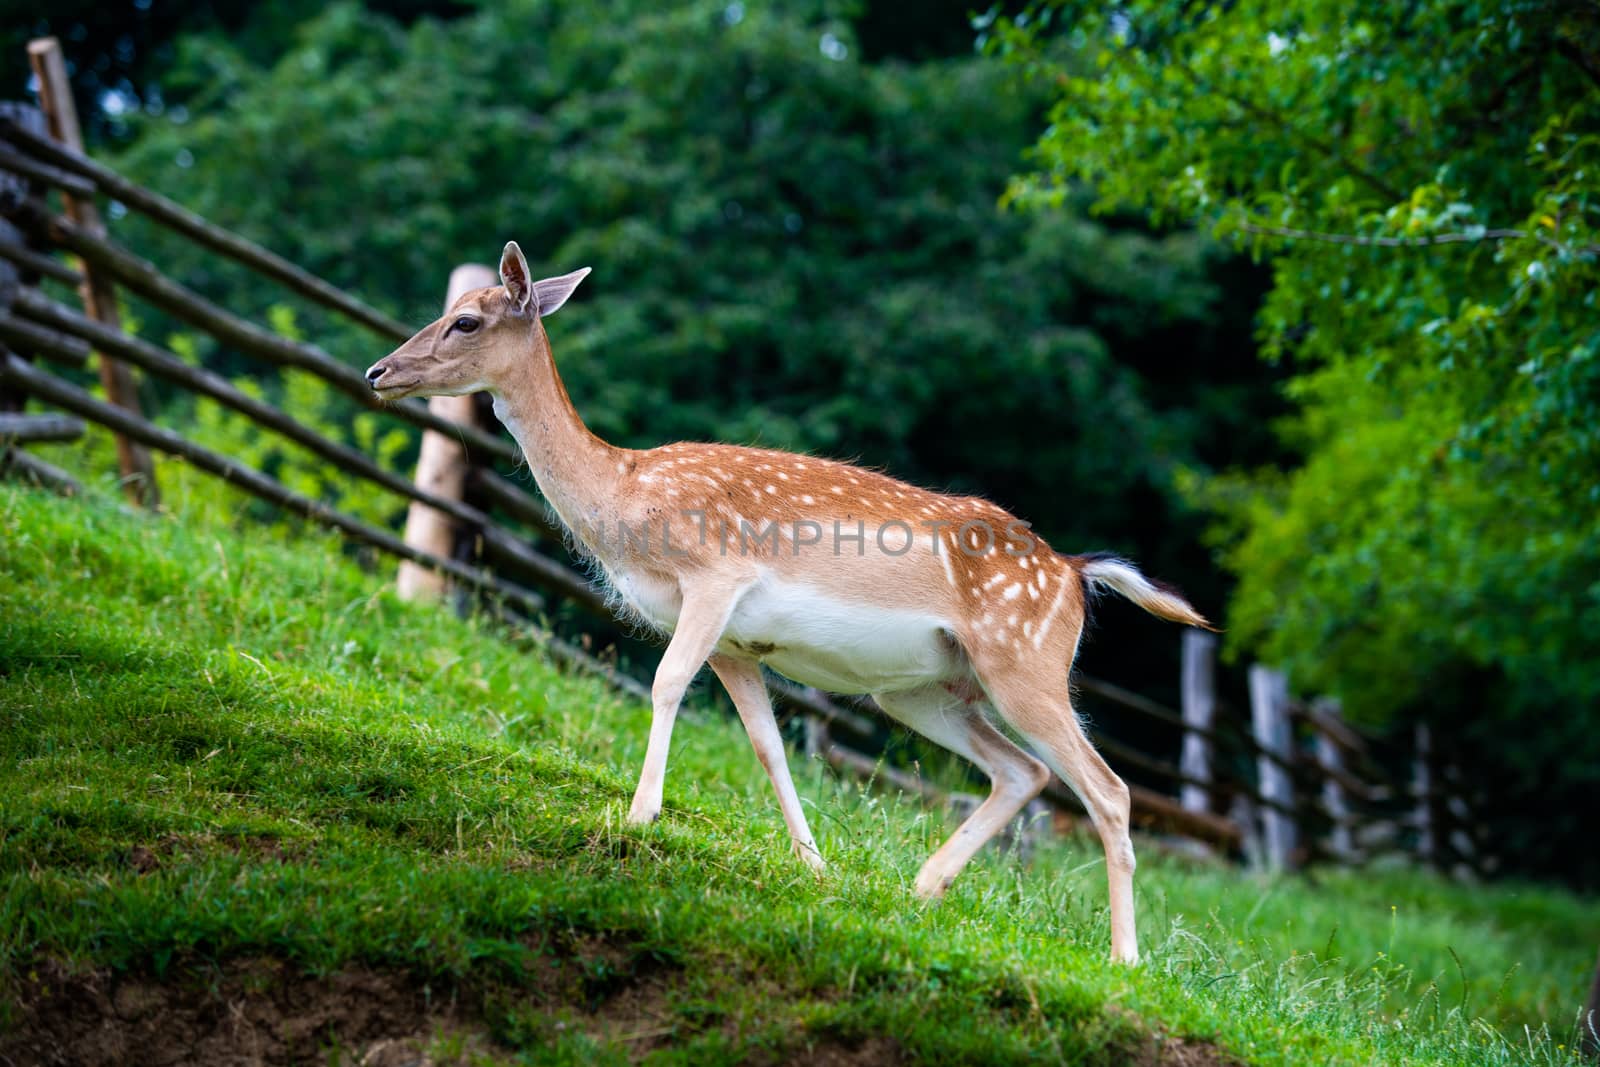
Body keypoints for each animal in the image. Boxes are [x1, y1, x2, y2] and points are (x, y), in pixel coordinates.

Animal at [366, 244, 1209, 966]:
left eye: (467, 319)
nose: (379, 371)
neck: (627, 503)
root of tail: (1073, 571)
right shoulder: (740, 645)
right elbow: (767, 743)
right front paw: (814, 864)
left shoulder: (716, 574)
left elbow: (665, 684)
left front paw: (638, 816)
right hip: (926, 689)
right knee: (1022, 770)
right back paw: (923, 884)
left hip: (1026, 659)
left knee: (1108, 788)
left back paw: (1124, 957)